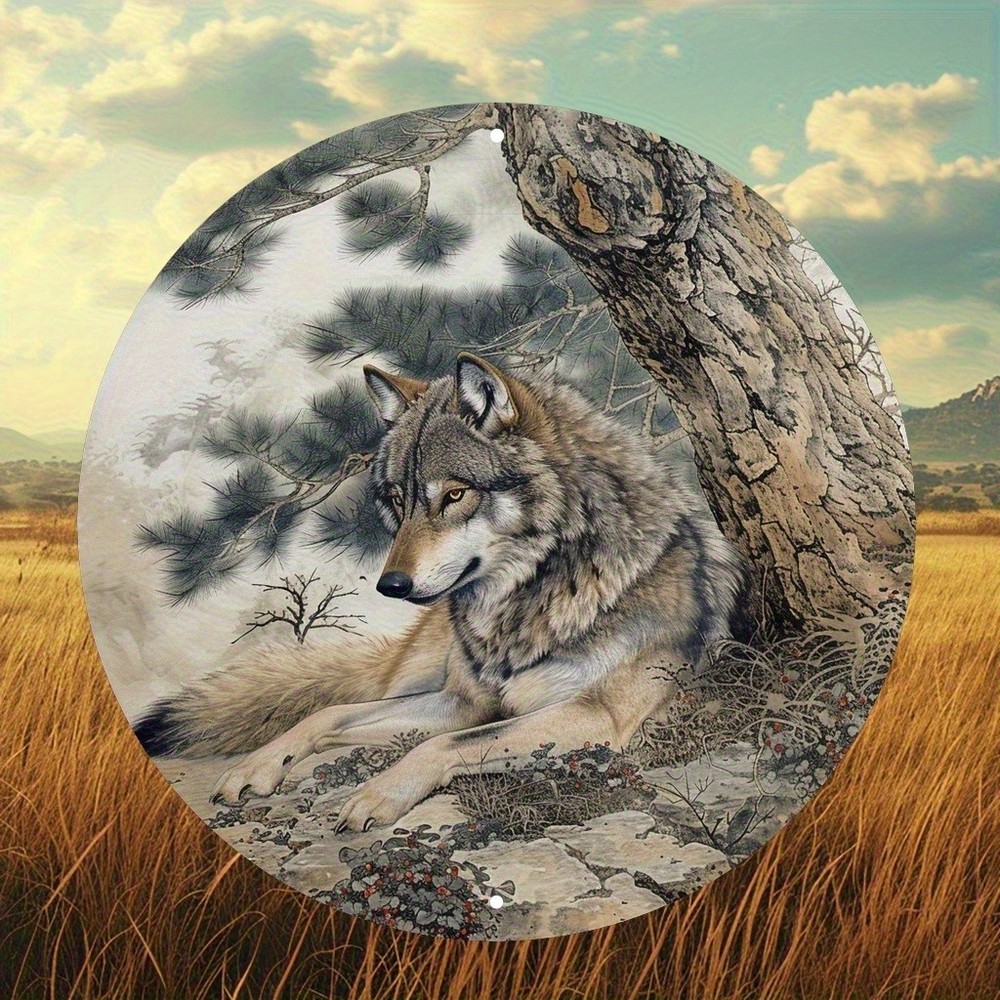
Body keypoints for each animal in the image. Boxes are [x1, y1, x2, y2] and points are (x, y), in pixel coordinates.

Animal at [134, 353, 745, 832]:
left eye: (454, 494)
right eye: (397, 500)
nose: (391, 585)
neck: (536, 595)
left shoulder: (596, 716)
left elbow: (444, 745)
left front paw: (378, 793)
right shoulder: (465, 702)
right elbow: (329, 714)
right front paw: (257, 766)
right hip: (413, 675)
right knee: (340, 706)